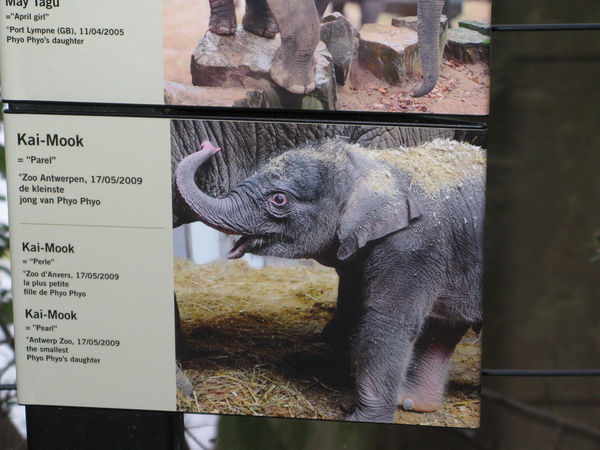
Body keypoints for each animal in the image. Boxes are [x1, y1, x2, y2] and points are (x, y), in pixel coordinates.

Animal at [175, 138, 482, 422]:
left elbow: (387, 323)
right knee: (444, 328)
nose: (209, 146)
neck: (372, 164)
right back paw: (413, 404)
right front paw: (350, 402)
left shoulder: (413, 246)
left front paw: (360, 418)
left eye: (278, 200)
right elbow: (355, 314)